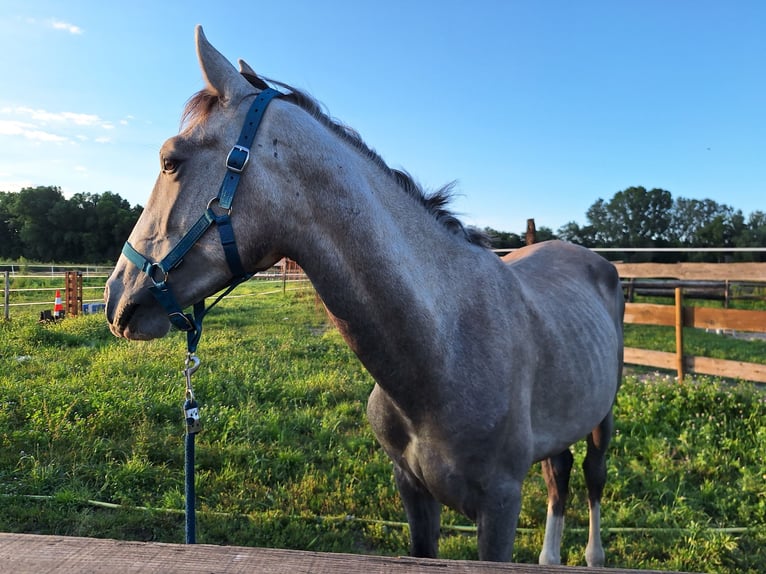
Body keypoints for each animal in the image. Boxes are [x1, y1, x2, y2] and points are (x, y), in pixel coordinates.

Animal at [105, 25, 628, 568]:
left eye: (171, 161)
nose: (116, 297)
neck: (444, 349)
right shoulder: (412, 489)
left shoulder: (501, 506)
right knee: (559, 475)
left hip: (604, 418)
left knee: (591, 477)